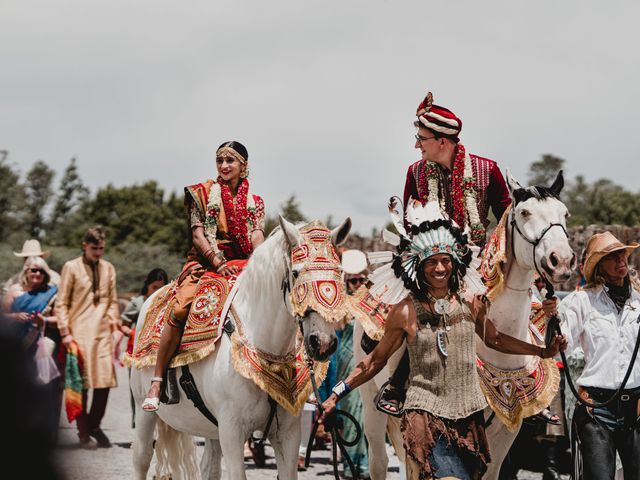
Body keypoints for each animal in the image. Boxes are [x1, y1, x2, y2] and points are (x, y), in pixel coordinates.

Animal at [129, 218, 350, 480]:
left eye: (340, 273)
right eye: (296, 273)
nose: (322, 342)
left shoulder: (287, 432)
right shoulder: (232, 431)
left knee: (210, 467)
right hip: (144, 411)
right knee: (141, 457)